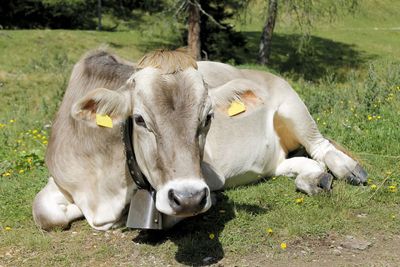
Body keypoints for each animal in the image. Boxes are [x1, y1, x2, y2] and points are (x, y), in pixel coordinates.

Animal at [32, 49, 368, 231]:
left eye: (208, 117)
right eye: (139, 119)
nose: (189, 197)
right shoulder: (60, 180)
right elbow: (44, 213)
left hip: (293, 107)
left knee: (320, 146)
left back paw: (349, 170)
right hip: (272, 158)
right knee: (294, 163)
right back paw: (315, 179)